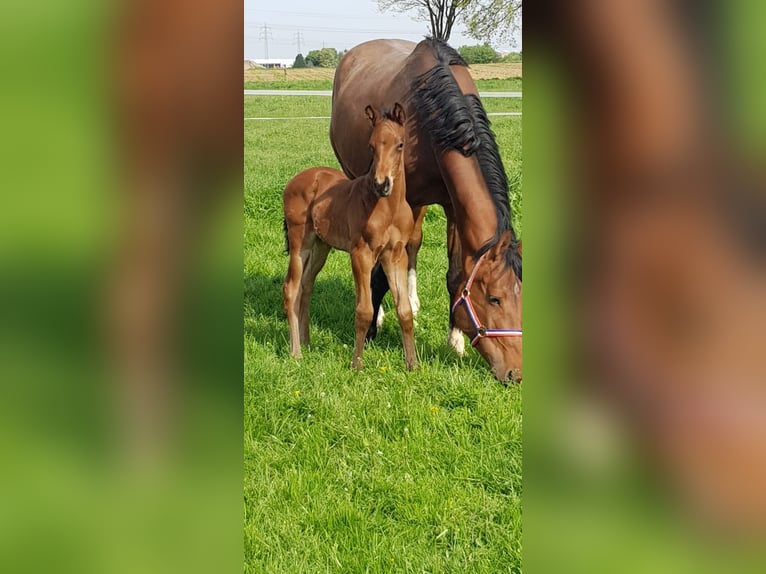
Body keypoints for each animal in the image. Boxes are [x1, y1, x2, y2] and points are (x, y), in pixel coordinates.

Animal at [282, 103, 416, 372]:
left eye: (400, 144)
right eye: (372, 146)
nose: (381, 184)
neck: (389, 208)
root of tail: (296, 180)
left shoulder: (395, 255)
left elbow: (405, 310)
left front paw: (412, 364)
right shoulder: (361, 254)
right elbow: (364, 311)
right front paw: (357, 364)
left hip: (321, 247)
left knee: (305, 287)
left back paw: (307, 342)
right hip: (300, 242)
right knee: (291, 288)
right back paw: (296, 352)